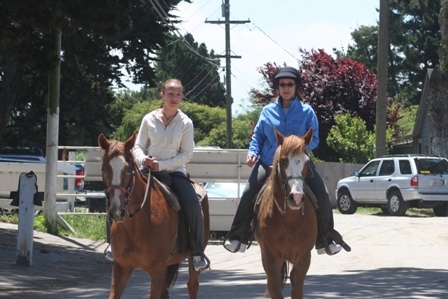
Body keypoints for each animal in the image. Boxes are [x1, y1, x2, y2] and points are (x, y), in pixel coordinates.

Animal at [98, 134, 210, 299]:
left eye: (128, 169)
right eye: (103, 169)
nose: (117, 211)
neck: (136, 227)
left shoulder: (157, 270)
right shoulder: (121, 267)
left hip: (191, 261)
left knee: (192, 286)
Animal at [256, 128, 318, 299]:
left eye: (306, 162)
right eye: (283, 161)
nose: (296, 197)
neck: (290, 220)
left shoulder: (304, 258)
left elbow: (297, 291)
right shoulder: (270, 258)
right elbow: (275, 289)